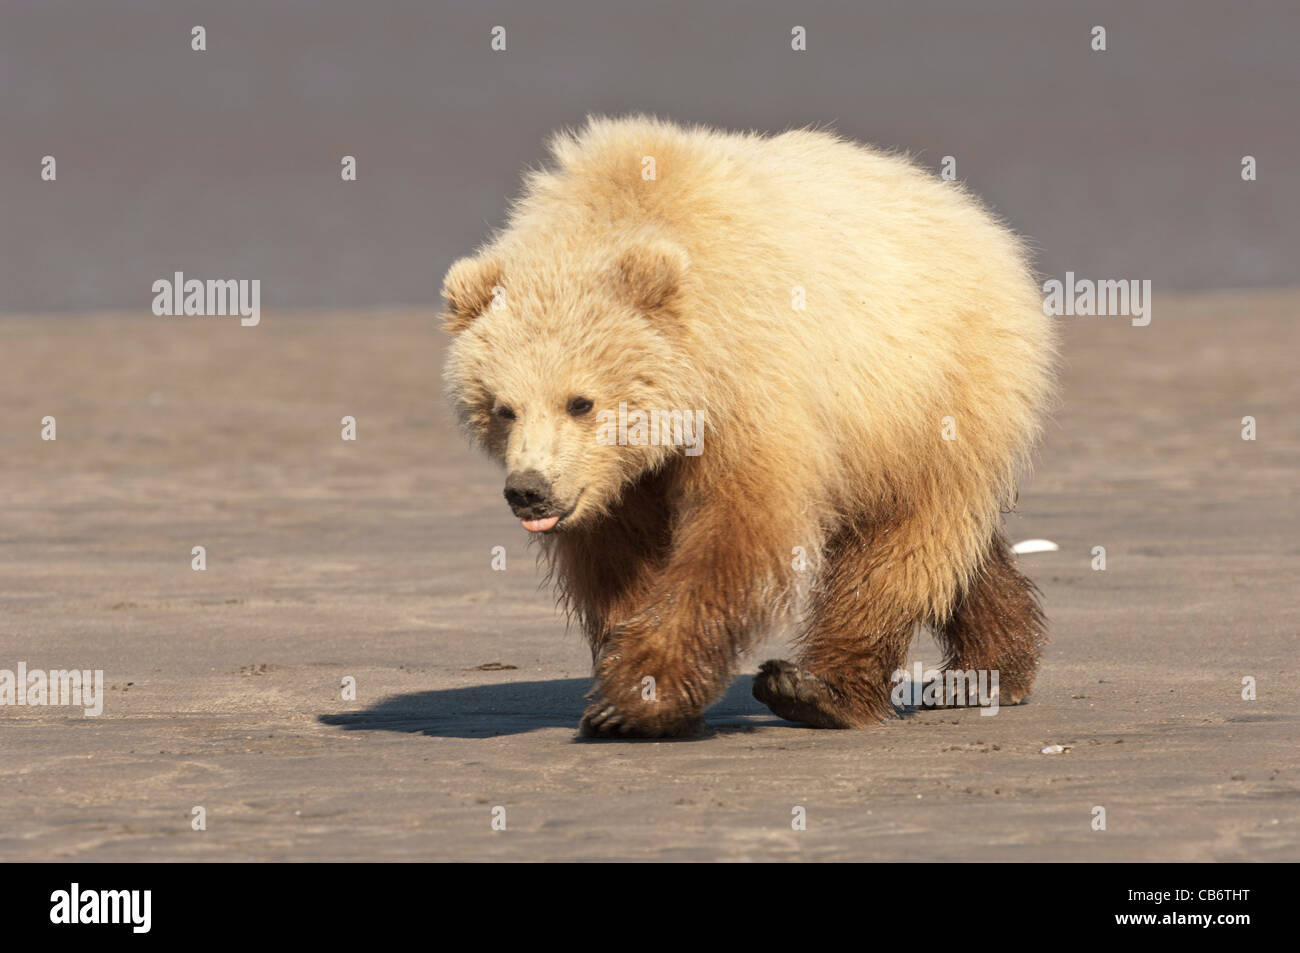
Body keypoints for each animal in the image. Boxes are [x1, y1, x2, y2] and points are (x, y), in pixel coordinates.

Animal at [441, 115, 1055, 738]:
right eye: (502, 408)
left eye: (580, 402)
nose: (529, 490)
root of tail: (975, 218)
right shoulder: (619, 482)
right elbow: (620, 559)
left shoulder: (752, 384)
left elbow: (740, 531)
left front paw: (634, 697)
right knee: (958, 550)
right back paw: (990, 667)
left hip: (936, 388)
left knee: (902, 540)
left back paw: (819, 689)